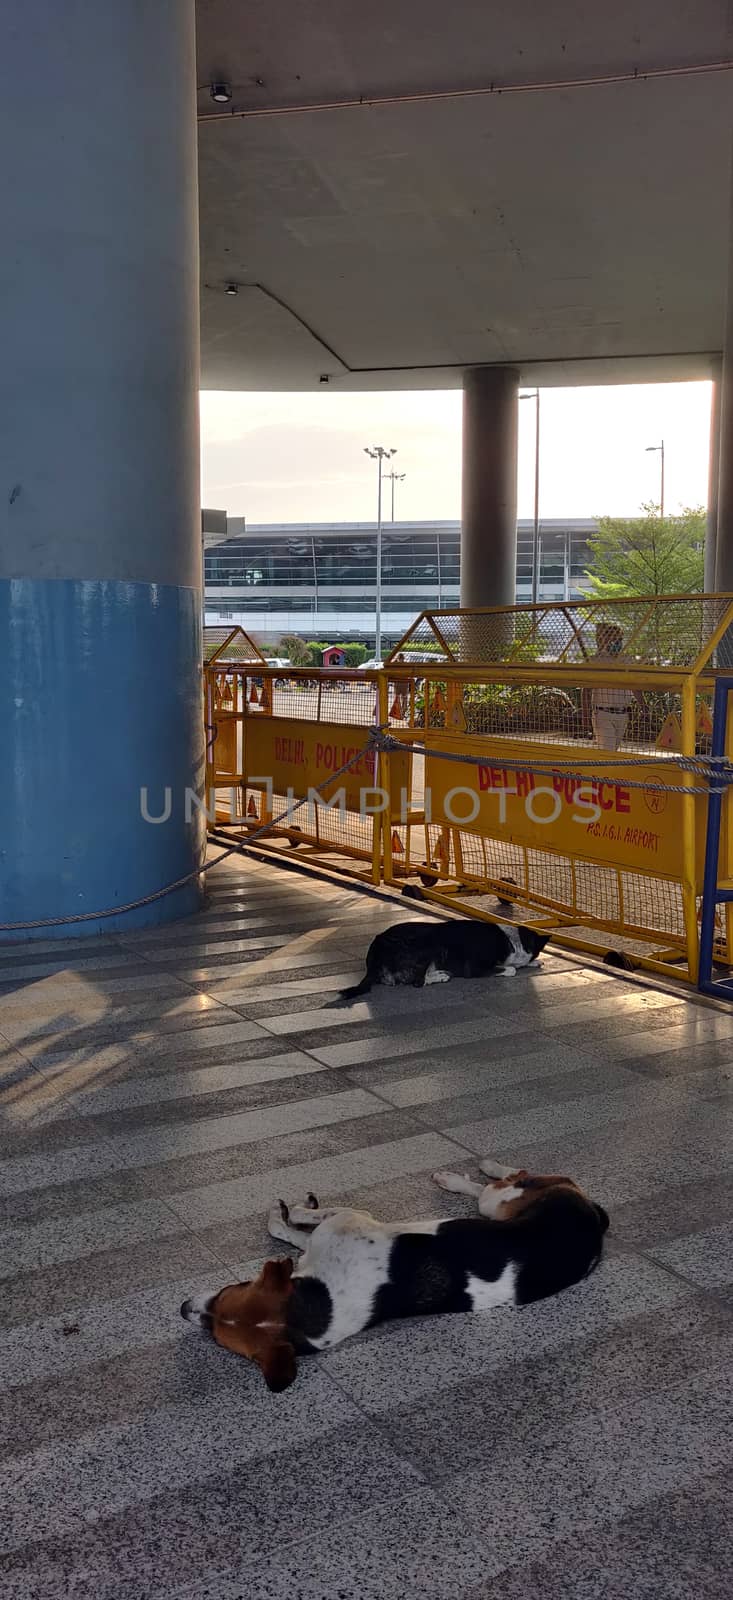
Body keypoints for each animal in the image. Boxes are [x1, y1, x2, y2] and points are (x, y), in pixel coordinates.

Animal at [180, 1158, 611, 1395]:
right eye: (215, 1335)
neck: (319, 1304)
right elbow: (293, 1237)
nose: (183, 1307)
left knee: (509, 1177)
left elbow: (296, 1222)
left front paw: (287, 1212)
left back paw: (467, 1173)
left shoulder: (347, 1218)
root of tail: (595, 1219)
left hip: (499, 1201)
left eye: (229, 1289)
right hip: (499, 1208)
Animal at [339, 915, 550, 998]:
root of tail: (374, 957)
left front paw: (536, 962)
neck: (511, 940)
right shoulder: (474, 968)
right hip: (429, 945)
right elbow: (511, 968)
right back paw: (440, 976)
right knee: (417, 982)